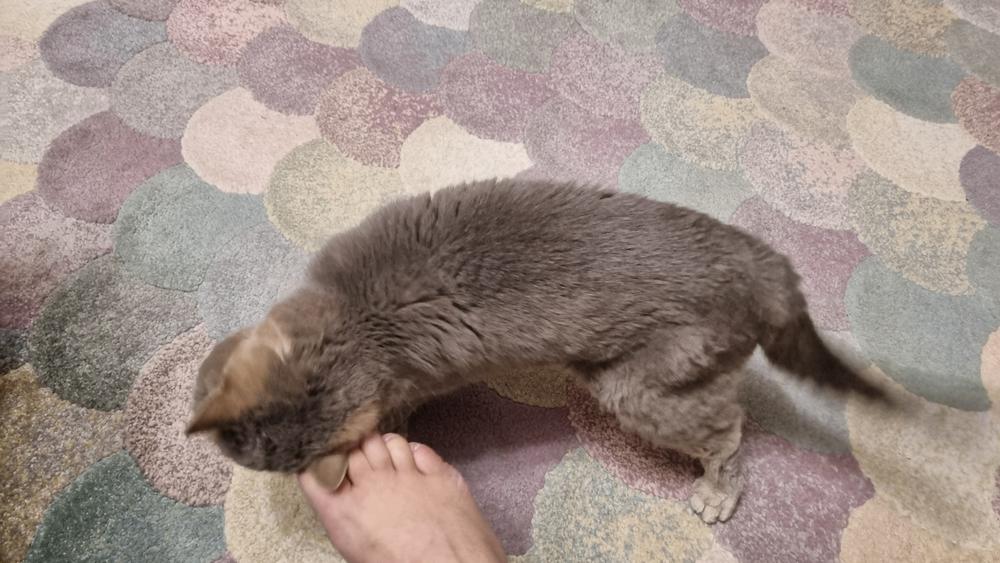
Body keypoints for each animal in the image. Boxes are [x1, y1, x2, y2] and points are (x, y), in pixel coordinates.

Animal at [187, 179, 883, 524]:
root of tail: (764, 263)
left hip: (642, 385)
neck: (357, 317)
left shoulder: (406, 382)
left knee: (728, 432)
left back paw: (716, 493)